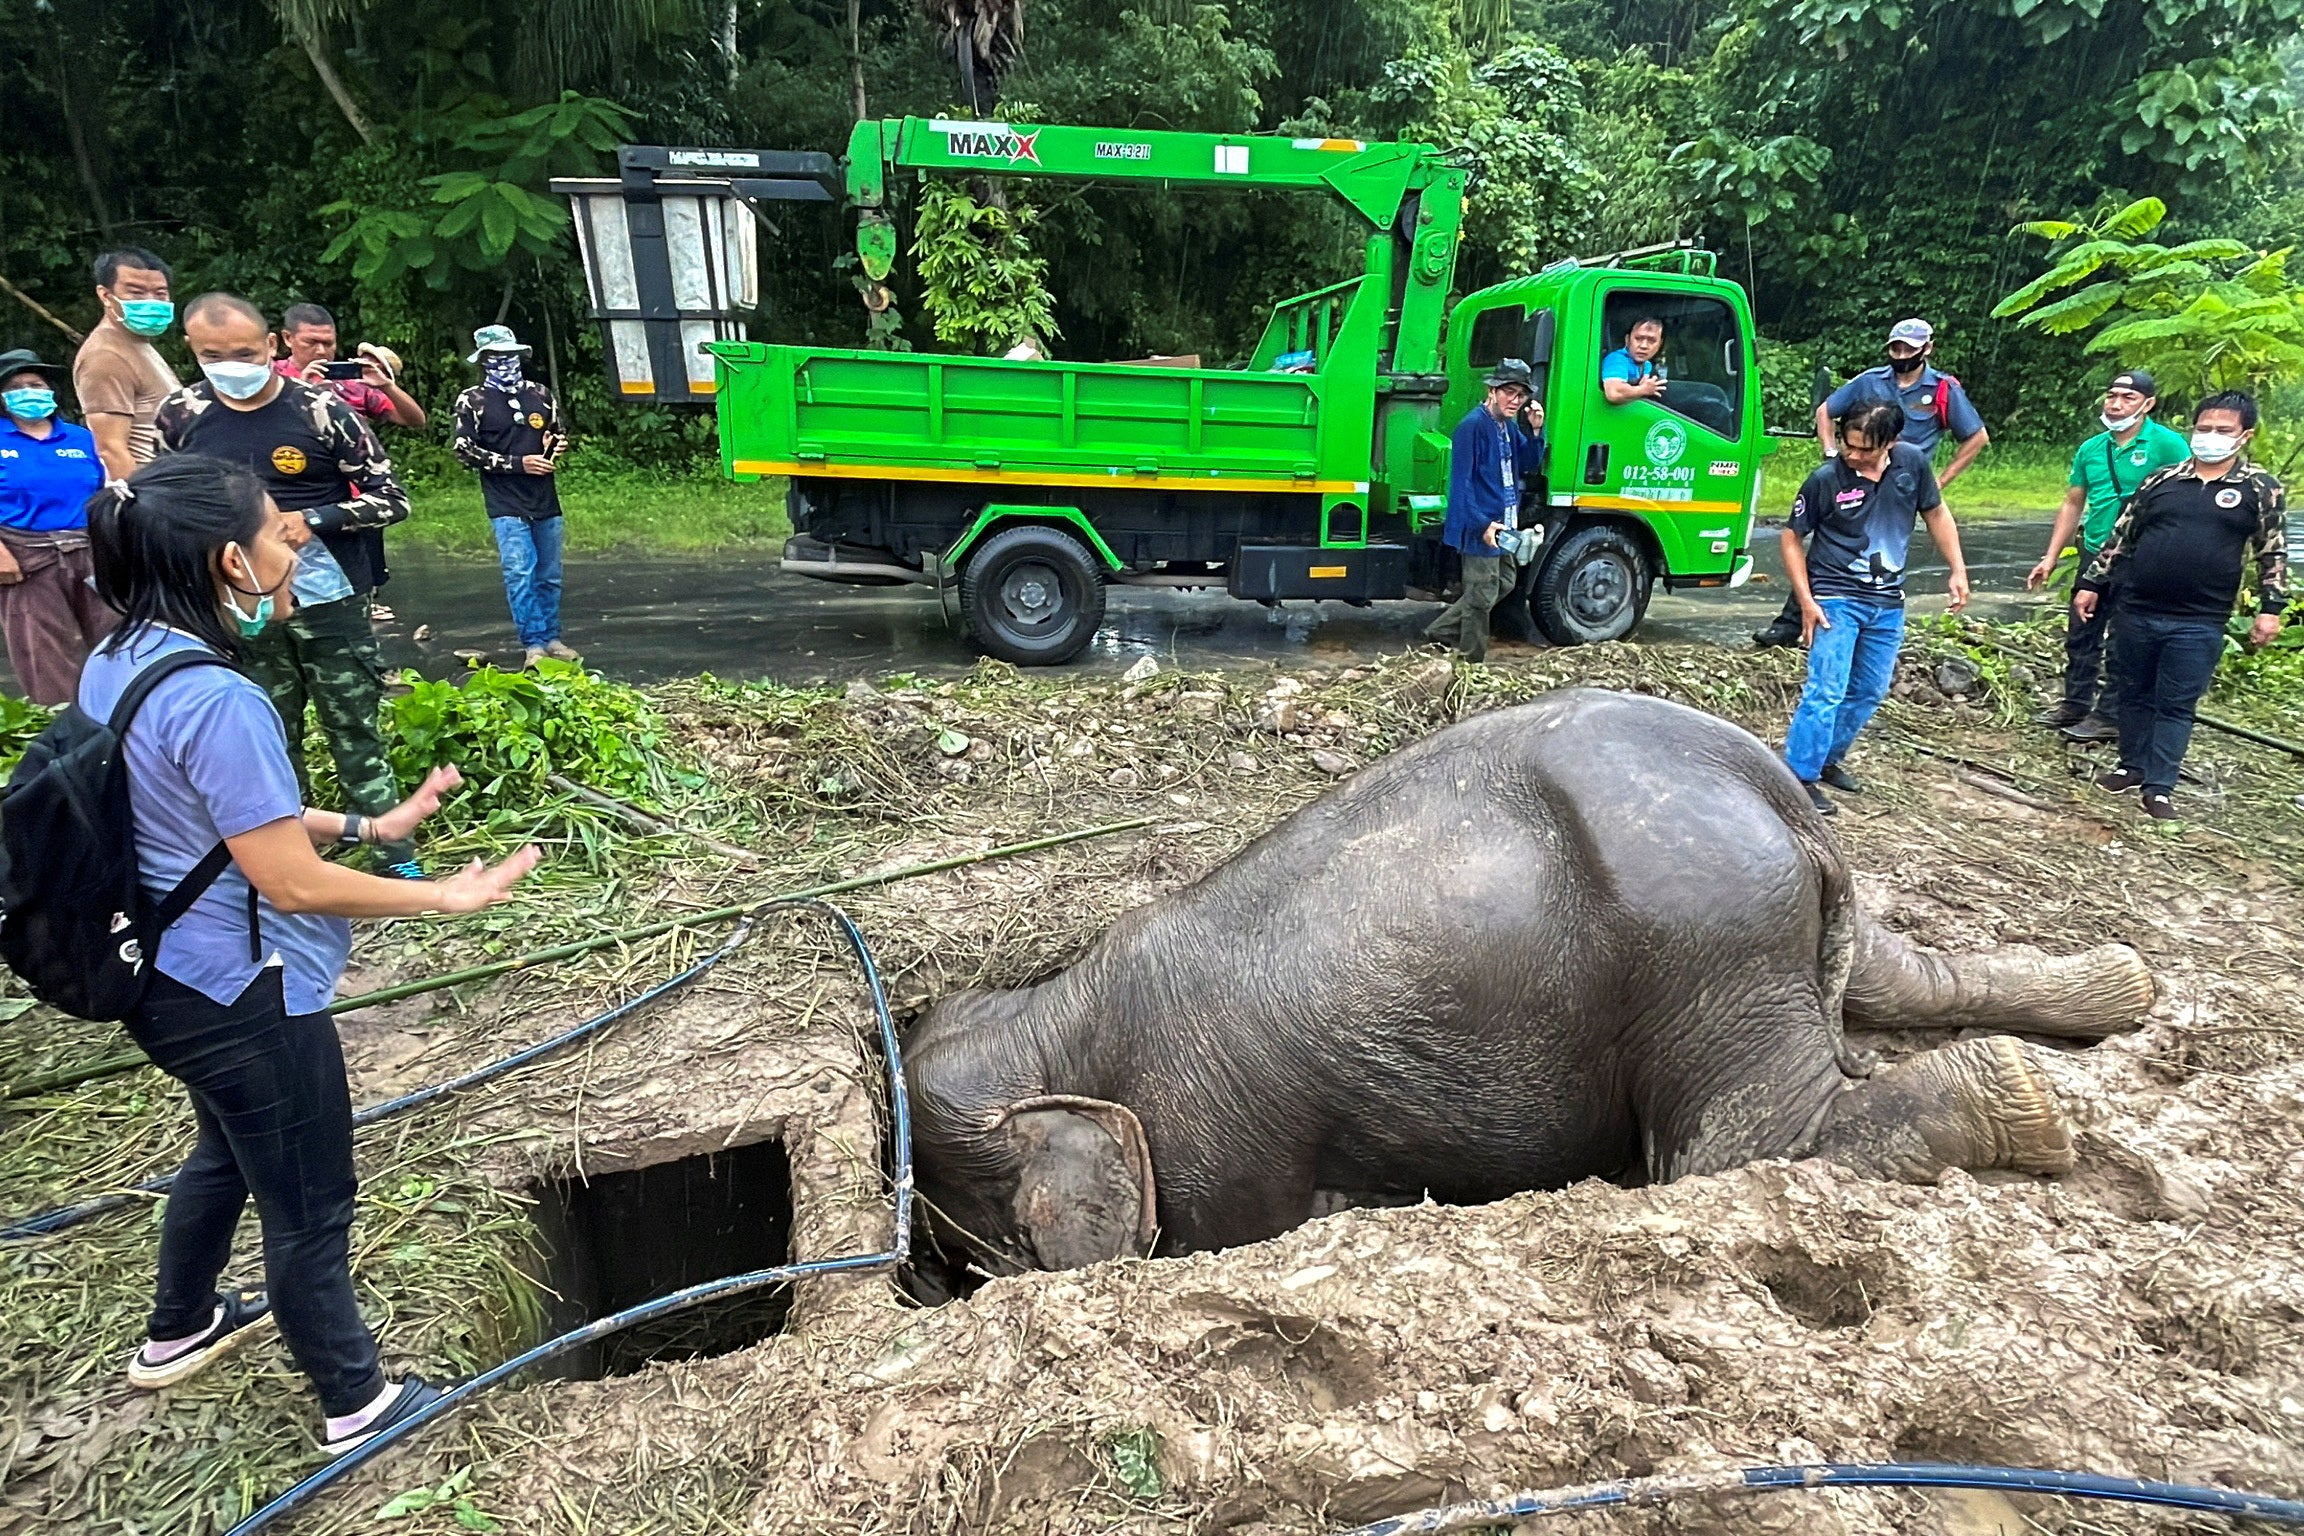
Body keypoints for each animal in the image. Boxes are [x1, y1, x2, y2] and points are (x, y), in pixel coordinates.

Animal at [903, 695, 2156, 1271]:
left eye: (985, 1249)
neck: (1054, 1013)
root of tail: (1774, 785)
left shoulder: (1219, 1147)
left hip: (1704, 949)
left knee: (1739, 1148)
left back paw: (2027, 1104)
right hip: (1773, 923)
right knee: (1903, 980)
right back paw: (2121, 993)